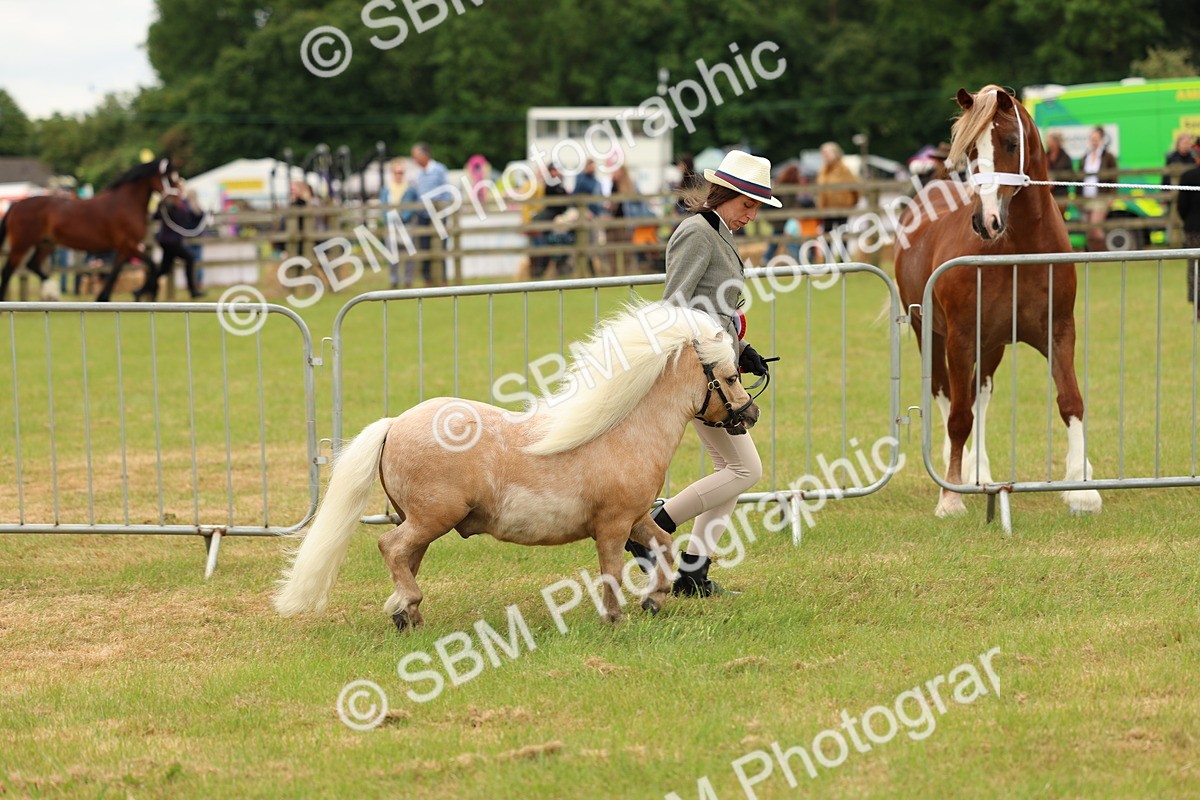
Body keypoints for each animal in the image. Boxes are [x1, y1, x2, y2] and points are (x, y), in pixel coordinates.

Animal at [0, 159, 178, 302]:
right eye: (170, 179)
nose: (172, 205)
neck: (126, 203)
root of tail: (16, 205)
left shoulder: (124, 248)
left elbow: (115, 273)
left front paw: (104, 298)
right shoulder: (128, 244)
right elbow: (152, 265)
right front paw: (147, 292)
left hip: (47, 244)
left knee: (33, 265)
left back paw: (52, 291)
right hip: (22, 244)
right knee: (8, 270)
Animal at [273, 302, 759, 630]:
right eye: (731, 377)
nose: (750, 414)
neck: (623, 430)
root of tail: (394, 425)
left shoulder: (636, 517)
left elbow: (664, 544)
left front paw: (655, 600)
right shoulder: (612, 524)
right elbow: (612, 570)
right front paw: (615, 617)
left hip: (423, 522)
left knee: (405, 556)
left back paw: (406, 614)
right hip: (433, 517)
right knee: (391, 547)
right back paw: (406, 606)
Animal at [894, 85, 1102, 517]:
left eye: (1011, 142)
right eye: (972, 150)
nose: (986, 222)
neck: (1018, 248)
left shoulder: (1059, 332)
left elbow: (1070, 401)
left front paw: (1082, 489)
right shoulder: (959, 340)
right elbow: (958, 416)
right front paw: (950, 498)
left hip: (990, 346)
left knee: (981, 396)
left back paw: (981, 472)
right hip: (930, 334)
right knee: (947, 395)